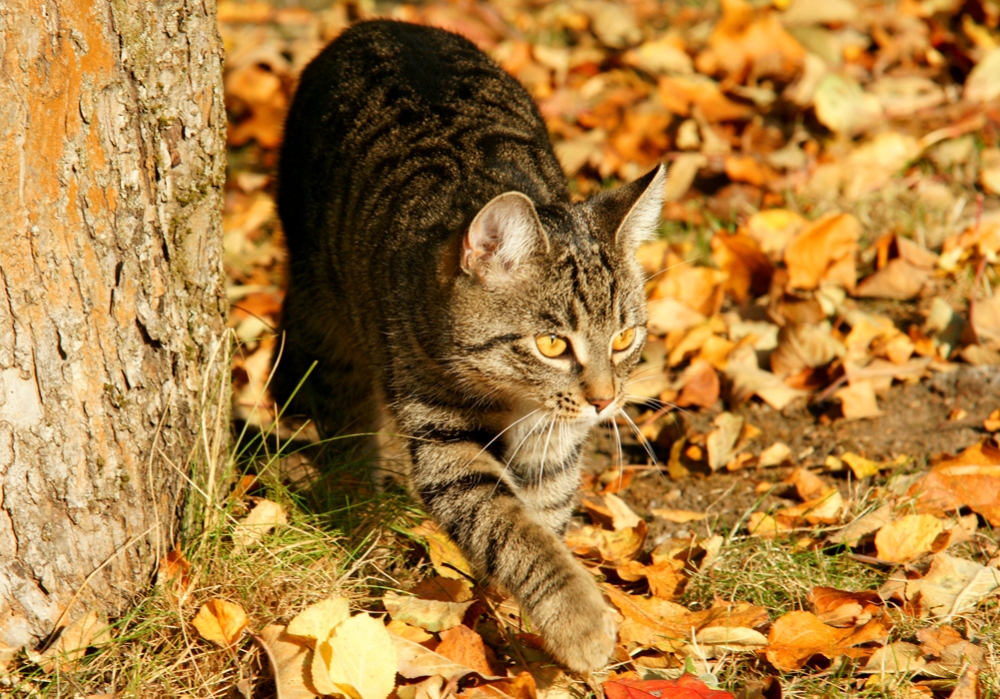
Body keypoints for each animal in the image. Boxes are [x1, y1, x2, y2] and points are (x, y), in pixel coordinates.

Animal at [272, 17, 664, 672]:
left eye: (625, 337)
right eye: (552, 344)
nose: (605, 401)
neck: (509, 396)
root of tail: (378, 23)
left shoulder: (551, 444)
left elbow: (542, 518)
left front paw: (519, 622)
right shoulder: (444, 442)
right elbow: (513, 529)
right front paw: (578, 619)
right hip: (320, 298)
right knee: (336, 400)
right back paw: (356, 484)